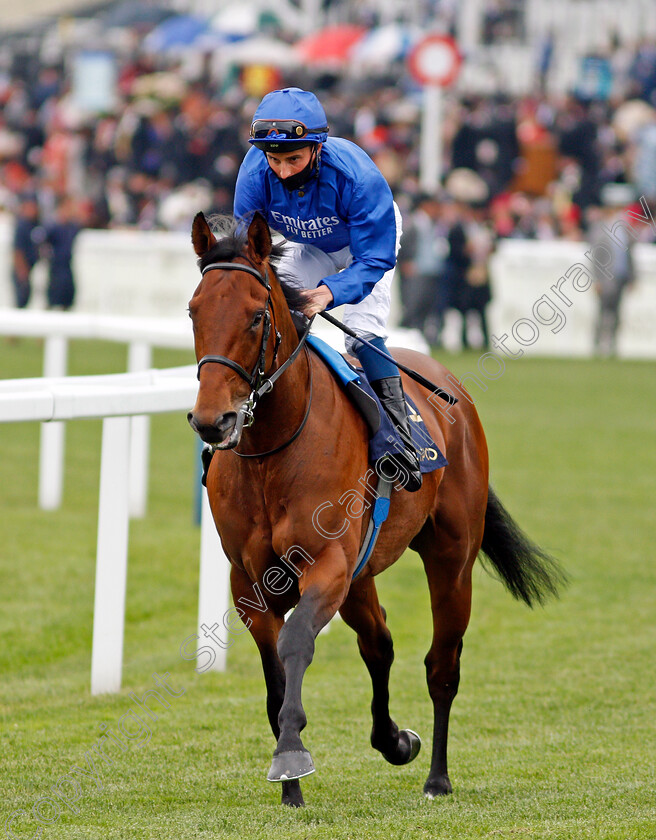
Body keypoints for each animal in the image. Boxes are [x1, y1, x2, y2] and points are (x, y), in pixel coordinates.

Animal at [186, 210, 564, 808]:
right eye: (194, 310)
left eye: (255, 316)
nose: (212, 420)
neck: (274, 448)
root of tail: (451, 389)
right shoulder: (249, 580)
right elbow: (275, 673)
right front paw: (291, 787)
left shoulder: (328, 564)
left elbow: (296, 642)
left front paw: (292, 756)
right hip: (362, 575)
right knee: (379, 643)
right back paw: (395, 741)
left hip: (451, 559)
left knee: (442, 665)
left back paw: (436, 777)